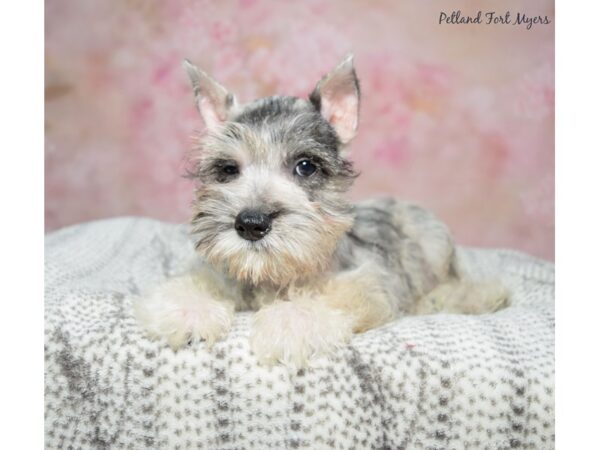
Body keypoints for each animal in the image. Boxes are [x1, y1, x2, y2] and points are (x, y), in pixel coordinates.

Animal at [135, 54, 506, 368]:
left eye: (305, 166)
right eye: (228, 169)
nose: (251, 224)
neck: (275, 275)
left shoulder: (365, 285)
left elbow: (330, 298)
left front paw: (289, 323)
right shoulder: (220, 273)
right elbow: (197, 280)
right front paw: (187, 311)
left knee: (456, 286)